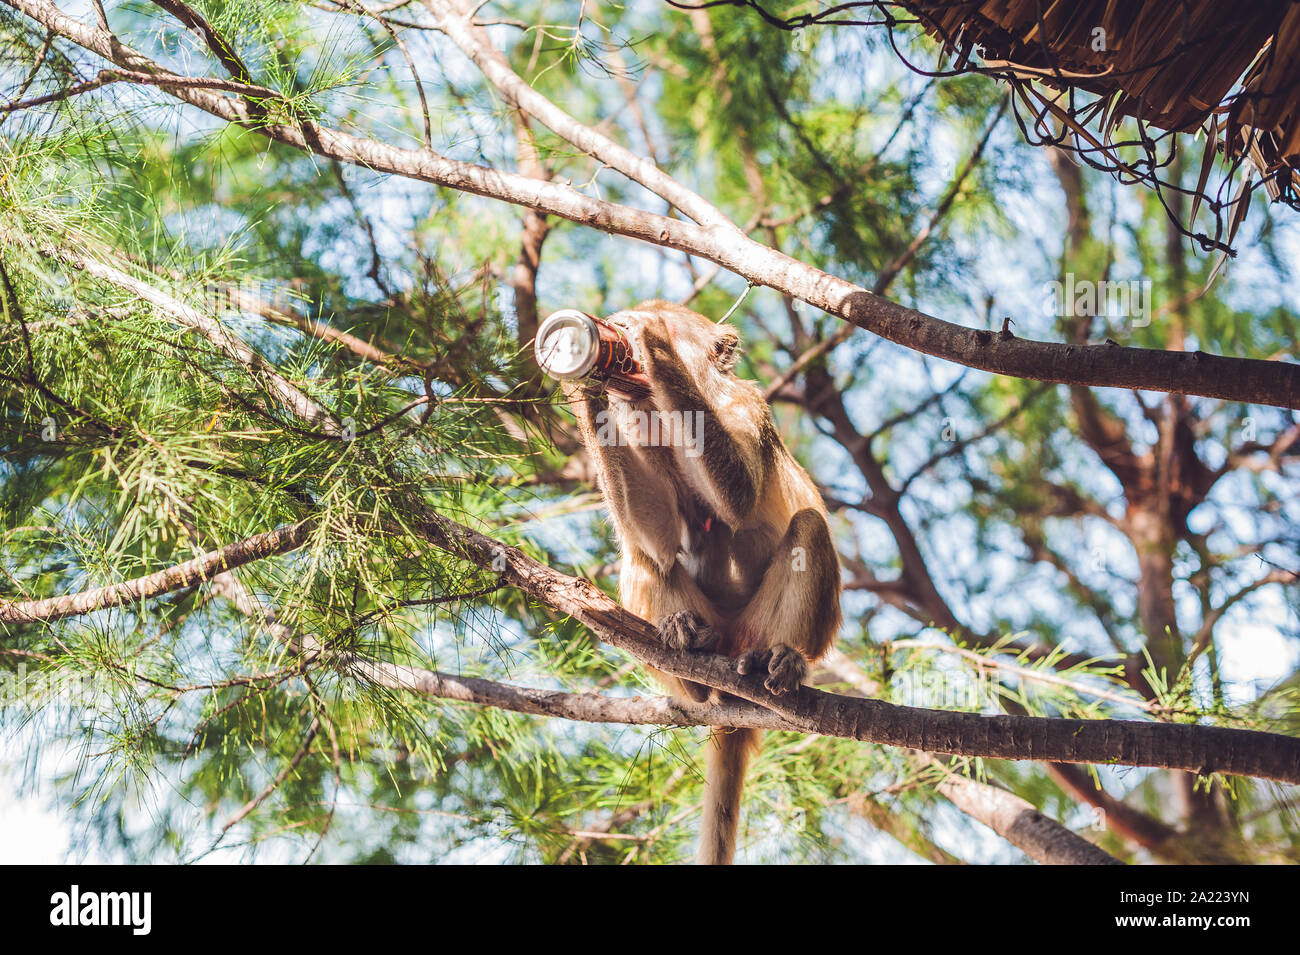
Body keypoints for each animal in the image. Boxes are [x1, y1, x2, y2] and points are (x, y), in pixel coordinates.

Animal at [559, 300, 842, 867]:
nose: (619, 328)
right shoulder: (636, 420)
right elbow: (658, 535)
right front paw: (585, 383)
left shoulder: (747, 408)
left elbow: (739, 496)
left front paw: (655, 347)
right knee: (645, 555)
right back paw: (689, 651)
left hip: (758, 628)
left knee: (808, 527)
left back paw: (783, 662)